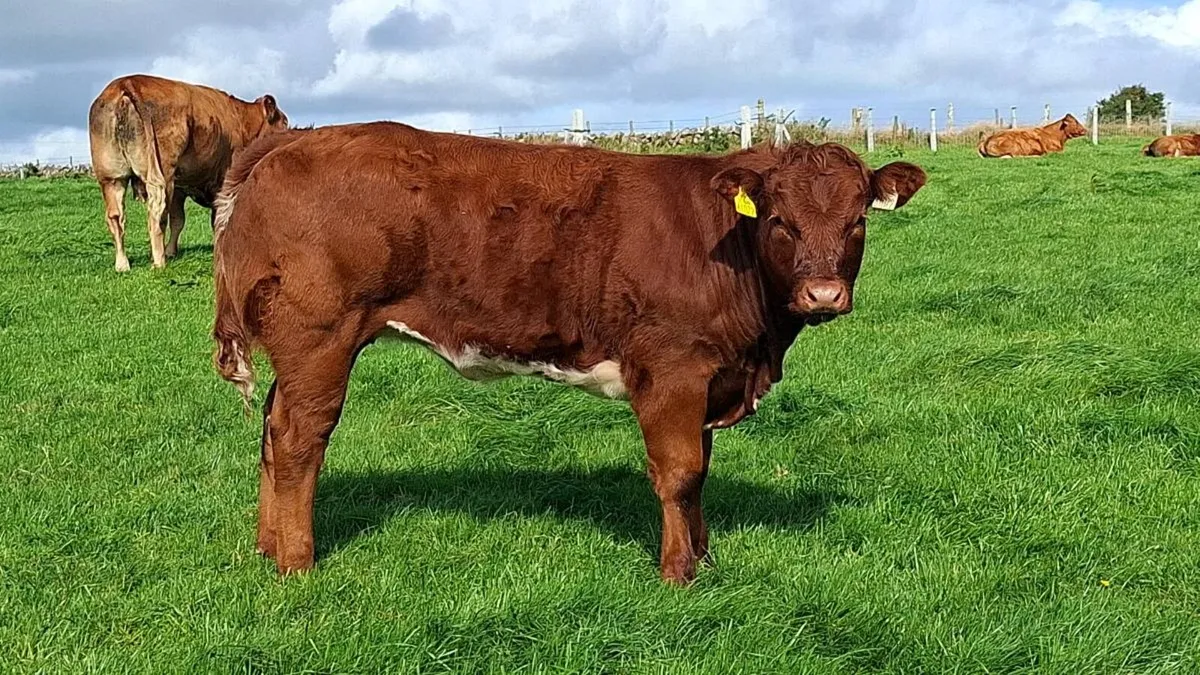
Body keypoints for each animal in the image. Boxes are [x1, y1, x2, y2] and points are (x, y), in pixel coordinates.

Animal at [88, 74, 289, 272]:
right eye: (284, 122)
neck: (243, 122)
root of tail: (126, 83)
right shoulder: (221, 181)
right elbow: (216, 219)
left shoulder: (180, 186)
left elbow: (178, 220)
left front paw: (171, 251)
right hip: (161, 174)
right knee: (157, 215)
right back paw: (159, 262)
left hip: (111, 176)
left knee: (116, 217)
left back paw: (123, 264)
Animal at [211, 122, 926, 584]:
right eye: (779, 220)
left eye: (859, 219)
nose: (823, 293)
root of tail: (290, 140)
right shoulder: (672, 368)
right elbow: (679, 474)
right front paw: (678, 575)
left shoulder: (708, 376)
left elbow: (700, 474)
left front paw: (705, 558)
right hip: (320, 338)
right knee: (300, 440)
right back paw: (298, 564)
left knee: (272, 433)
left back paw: (265, 550)